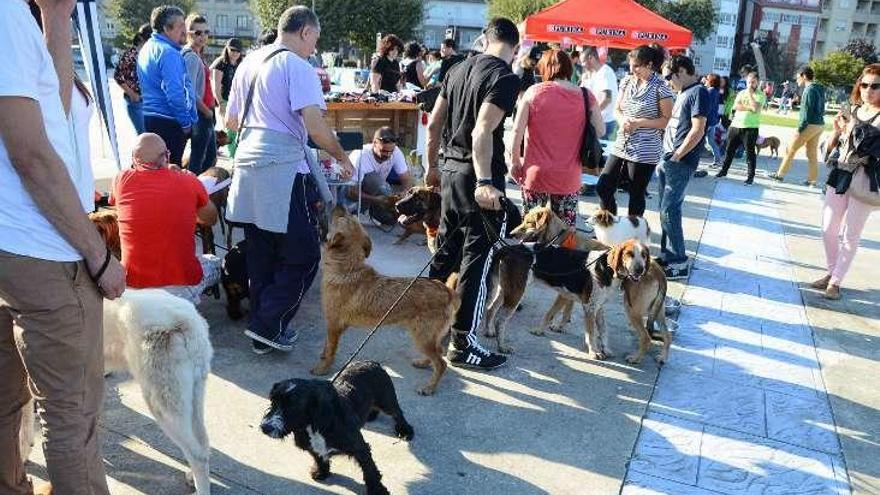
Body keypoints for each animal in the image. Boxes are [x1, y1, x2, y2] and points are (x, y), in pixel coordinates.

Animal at [260, 360, 414, 495]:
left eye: (293, 406)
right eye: (273, 401)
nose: (265, 427)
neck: (316, 425)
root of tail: (371, 362)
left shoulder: (360, 448)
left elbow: (370, 471)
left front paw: (377, 491)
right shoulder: (310, 445)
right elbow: (319, 457)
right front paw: (322, 472)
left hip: (386, 400)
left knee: (397, 412)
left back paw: (405, 430)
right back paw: (371, 415)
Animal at [310, 205, 460, 396]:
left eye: (341, 217)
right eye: (346, 215)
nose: (340, 206)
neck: (347, 268)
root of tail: (447, 290)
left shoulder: (334, 325)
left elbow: (330, 350)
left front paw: (322, 368)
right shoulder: (332, 326)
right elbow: (326, 346)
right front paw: (322, 359)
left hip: (422, 336)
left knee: (441, 363)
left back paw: (429, 387)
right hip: (428, 337)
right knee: (438, 352)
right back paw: (423, 363)